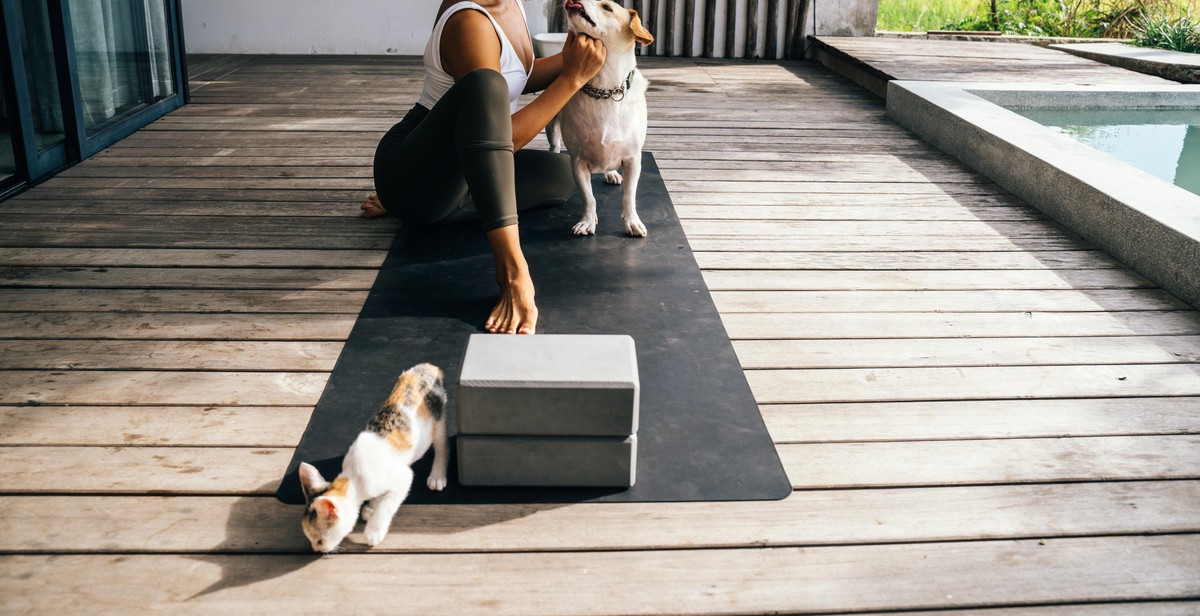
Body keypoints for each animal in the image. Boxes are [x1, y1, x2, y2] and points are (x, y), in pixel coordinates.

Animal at [297, 362, 448, 549]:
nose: (316, 550)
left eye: (319, 540)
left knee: (441, 444)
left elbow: (387, 504)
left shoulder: (403, 477)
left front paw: (374, 530)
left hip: (438, 418)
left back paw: (437, 476)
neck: (353, 477)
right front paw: (371, 508)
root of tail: (427, 367)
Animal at [552, 0, 657, 236]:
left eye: (607, 7)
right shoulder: (577, 162)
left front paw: (632, 221)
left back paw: (612, 174)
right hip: (552, 131)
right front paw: (587, 221)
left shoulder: (633, 160)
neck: (604, 90)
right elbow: (588, 197)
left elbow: (629, 196)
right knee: (554, 146)